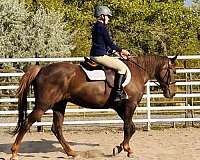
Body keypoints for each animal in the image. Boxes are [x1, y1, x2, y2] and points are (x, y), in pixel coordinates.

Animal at [10, 54, 177, 159]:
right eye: (173, 71)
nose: (172, 93)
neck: (137, 72)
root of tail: (42, 69)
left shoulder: (121, 107)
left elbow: (132, 127)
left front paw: (120, 148)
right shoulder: (130, 105)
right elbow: (128, 127)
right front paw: (125, 149)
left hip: (59, 105)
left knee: (56, 128)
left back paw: (71, 152)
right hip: (43, 105)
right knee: (26, 123)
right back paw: (14, 153)